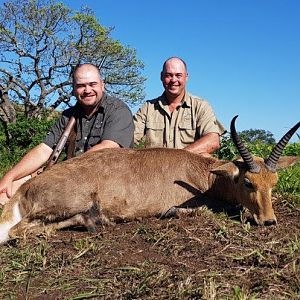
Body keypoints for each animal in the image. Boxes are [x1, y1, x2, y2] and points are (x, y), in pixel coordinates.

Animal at [0, 115, 298, 244]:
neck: (203, 174)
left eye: (273, 183)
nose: (269, 221)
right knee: (17, 231)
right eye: (248, 182)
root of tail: (25, 187)